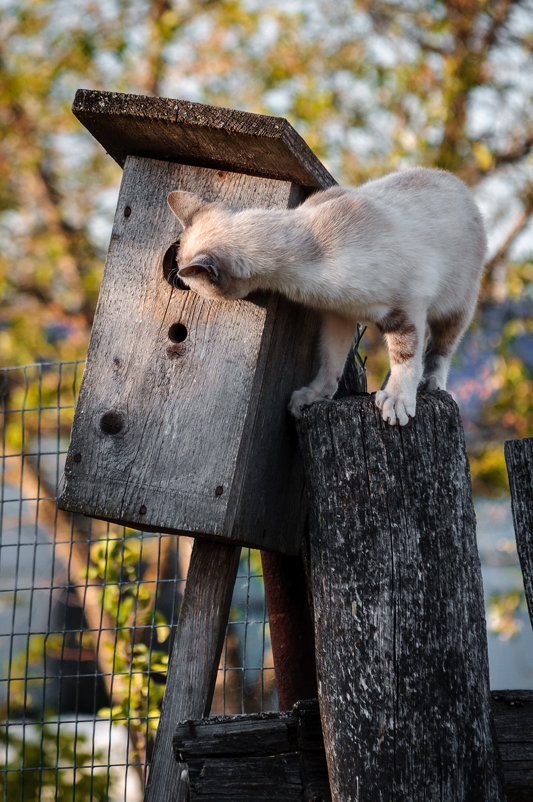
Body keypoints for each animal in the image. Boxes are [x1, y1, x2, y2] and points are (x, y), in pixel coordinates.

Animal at [167, 168, 486, 424]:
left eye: (190, 283)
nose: (179, 283)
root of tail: (454, 180)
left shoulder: (407, 307)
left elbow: (405, 358)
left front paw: (396, 400)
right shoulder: (339, 316)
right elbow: (331, 360)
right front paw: (315, 395)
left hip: (457, 306)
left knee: (439, 350)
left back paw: (430, 383)